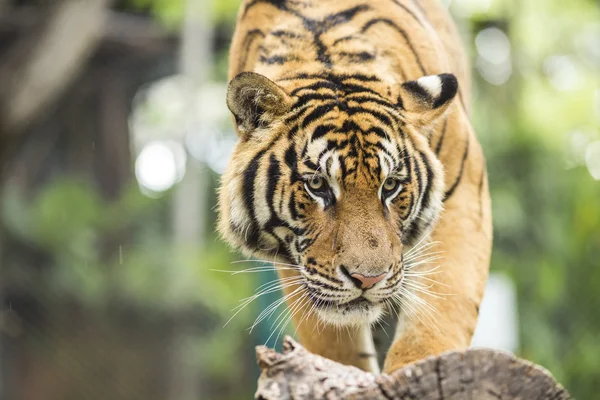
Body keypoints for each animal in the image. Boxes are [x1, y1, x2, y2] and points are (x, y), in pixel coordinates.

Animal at [218, 0, 490, 374]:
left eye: (390, 186)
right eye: (317, 185)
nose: (368, 280)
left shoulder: (465, 189)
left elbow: (442, 306)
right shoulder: (298, 263)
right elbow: (333, 340)